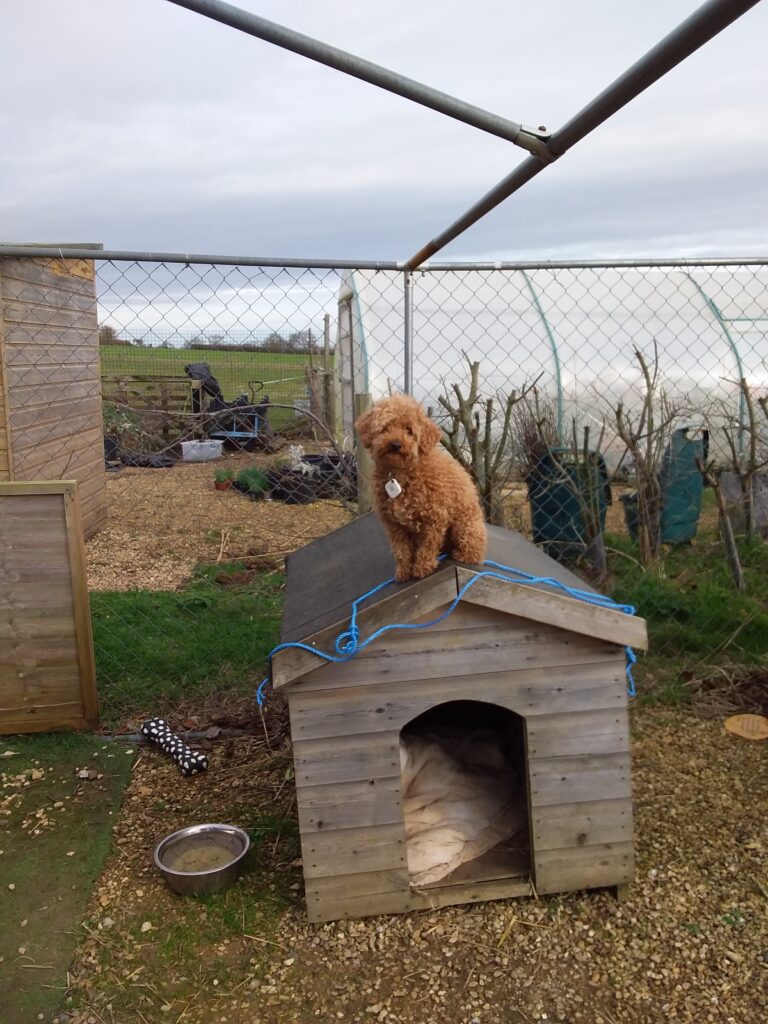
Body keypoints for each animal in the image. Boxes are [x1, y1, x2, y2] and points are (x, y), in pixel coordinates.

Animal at [354, 393, 487, 581]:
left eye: (409, 430)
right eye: (385, 427)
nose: (395, 444)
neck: (400, 474)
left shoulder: (433, 519)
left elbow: (427, 547)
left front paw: (422, 568)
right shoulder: (395, 525)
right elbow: (401, 551)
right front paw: (404, 572)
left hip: (465, 527)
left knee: (474, 551)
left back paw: (463, 556)